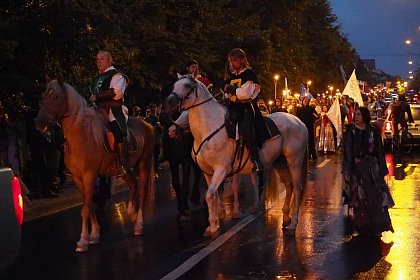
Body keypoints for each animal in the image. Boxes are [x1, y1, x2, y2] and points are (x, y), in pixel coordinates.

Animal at [34, 79, 155, 252]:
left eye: (56, 96)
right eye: (43, 96)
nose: (39, 123)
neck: (80, 136)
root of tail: (147, 124)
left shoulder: (89, 176)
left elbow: (85, 209)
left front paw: (83, 240)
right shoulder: (78, 179)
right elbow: (89, 205)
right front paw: (94, 234)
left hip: (144, 164)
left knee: (142, 191)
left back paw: (138, 224)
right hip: (123, 170)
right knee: (133, 183)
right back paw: (130, 211)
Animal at [165, 73, 308, 235]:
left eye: (187, 85)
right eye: (174, 85)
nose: (169, 102)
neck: (208, 128)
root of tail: (298, 121)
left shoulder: (221, 169)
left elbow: (210, 195)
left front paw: (213, 226)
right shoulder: (207, 172)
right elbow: (213, 195)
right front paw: (217, 219)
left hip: (294, 161)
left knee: (297, 188)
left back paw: (293, 224)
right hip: (280, 162)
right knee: (289, 186)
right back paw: (285, 218)